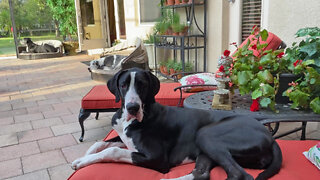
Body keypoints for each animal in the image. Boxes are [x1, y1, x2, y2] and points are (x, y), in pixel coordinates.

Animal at [71, 68, 282, 180]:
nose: (132, 107)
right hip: (206, 150)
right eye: (123, 85)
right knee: (201, 174)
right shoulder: (123, 136)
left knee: (240, 175)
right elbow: (101, 142)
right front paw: (83, 157)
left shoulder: (157, 158)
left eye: (142, 85)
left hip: (207, 134)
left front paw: (83, 160)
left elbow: (112, 150)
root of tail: (270, 137)